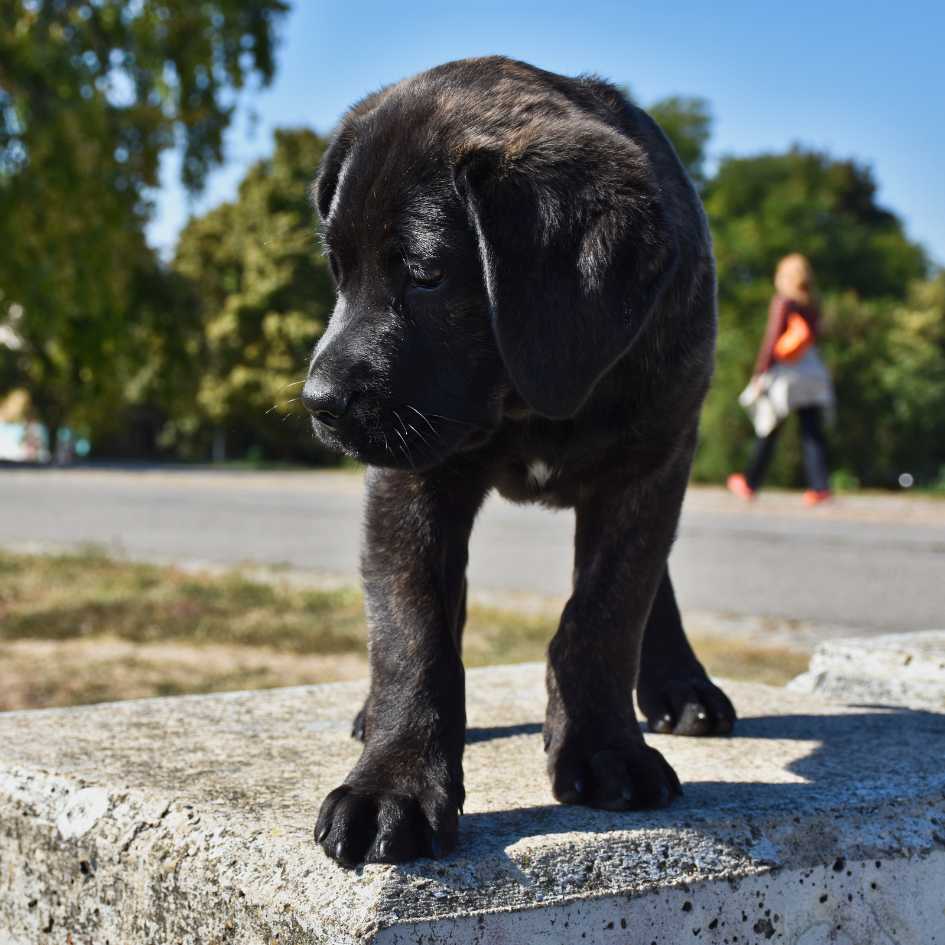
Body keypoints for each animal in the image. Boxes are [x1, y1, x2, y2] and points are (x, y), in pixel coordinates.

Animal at [306, 55, 732, 868]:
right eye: (337, 272)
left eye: (425, 273)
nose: (320, 401)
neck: (527, 402)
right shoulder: (411, 480)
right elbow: (414, 631)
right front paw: (394, 783)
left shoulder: (649, 465)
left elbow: (604, 614)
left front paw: (605, 752)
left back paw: (680, 686)